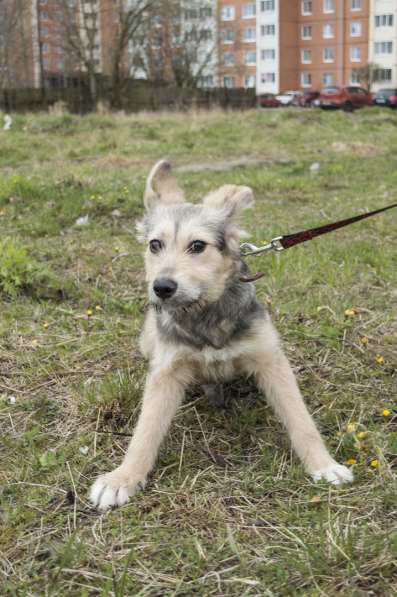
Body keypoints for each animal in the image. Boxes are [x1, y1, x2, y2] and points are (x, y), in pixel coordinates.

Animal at [90, 161, 352, 510]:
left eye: (198, 246)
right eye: (155, 244)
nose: (162, 287)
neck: (205, 314)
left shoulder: (271, 360)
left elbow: (301, 420)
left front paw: (324, 465)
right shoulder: (166, 371)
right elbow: (145, 431)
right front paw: (123, 478)